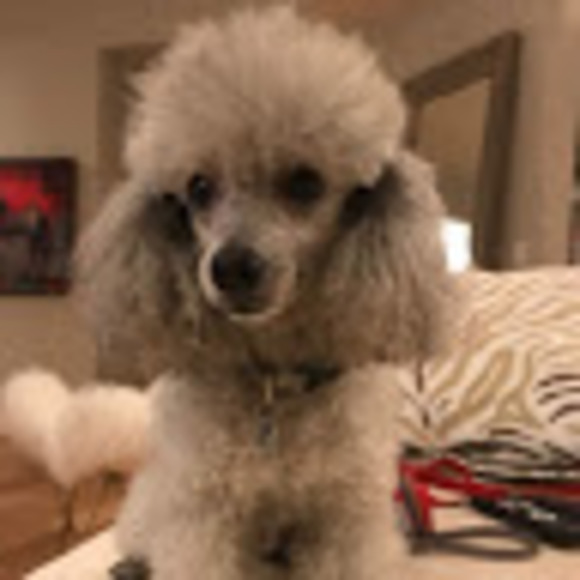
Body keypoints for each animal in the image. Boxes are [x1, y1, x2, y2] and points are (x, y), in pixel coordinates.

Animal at [79, 7, 453, 579]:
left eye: (305, 182)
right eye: (198, 188)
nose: (230, 268)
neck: (275, 386)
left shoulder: (346, 520)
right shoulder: (201, 516)